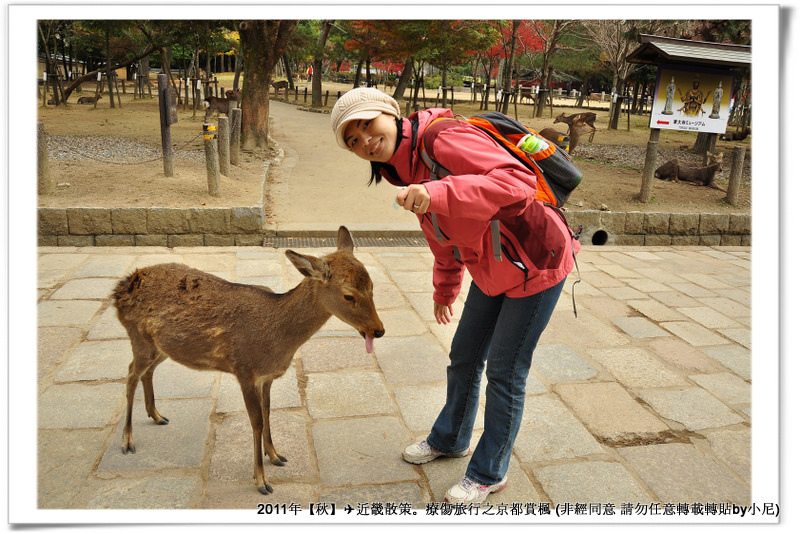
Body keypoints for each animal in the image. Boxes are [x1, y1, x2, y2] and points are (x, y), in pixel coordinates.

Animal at [112, 227, 384, 498]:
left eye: (372, 286)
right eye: (348, 295)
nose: (379, 330)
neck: (278, 340)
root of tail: (120, 289)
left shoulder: (266, 377)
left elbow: (268, 412)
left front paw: (275, 455)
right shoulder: (244, 370)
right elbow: (256, 421)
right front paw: (261, 481)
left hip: (162, 347)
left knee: (145, 372)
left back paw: (157, 415)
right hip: (139, 337)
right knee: (130, 374)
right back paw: (127, 441)